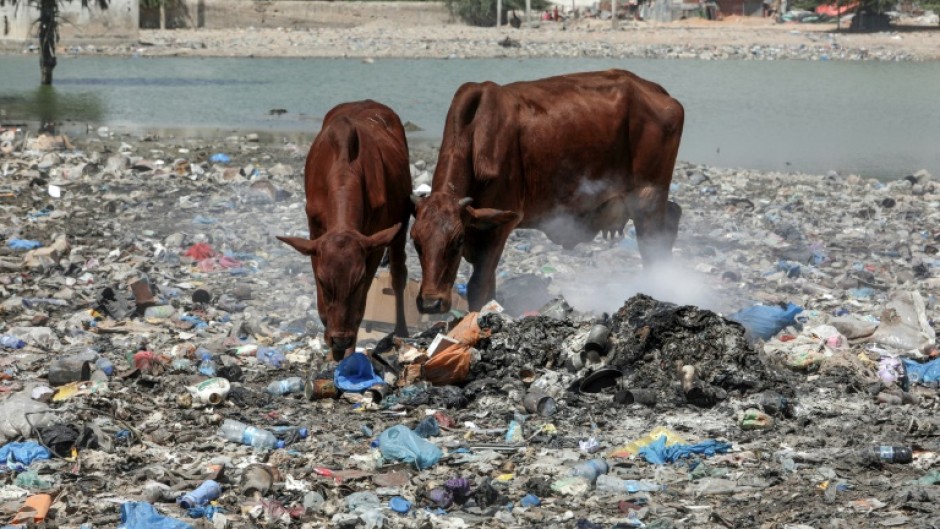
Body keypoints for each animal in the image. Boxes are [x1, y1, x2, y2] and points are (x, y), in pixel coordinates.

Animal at [278, 100, 414, 358]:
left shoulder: (374, 242)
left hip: (401, 221)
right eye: (323, 282)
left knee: (399, 274)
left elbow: (363, 301)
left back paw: (401, 330)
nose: (340, 340)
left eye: (357, 281)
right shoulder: (314, 233)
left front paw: (348, 350)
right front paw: (332, 346)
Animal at [412, 68, 684, 312]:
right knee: (672, 217)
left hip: (647, 195)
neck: (474, 136)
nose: (430, 303)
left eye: (457, 240)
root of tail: (657, 91)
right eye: (415, 241)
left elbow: (479, 286)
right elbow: (490, 286)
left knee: (652, 246)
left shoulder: (501, 225)